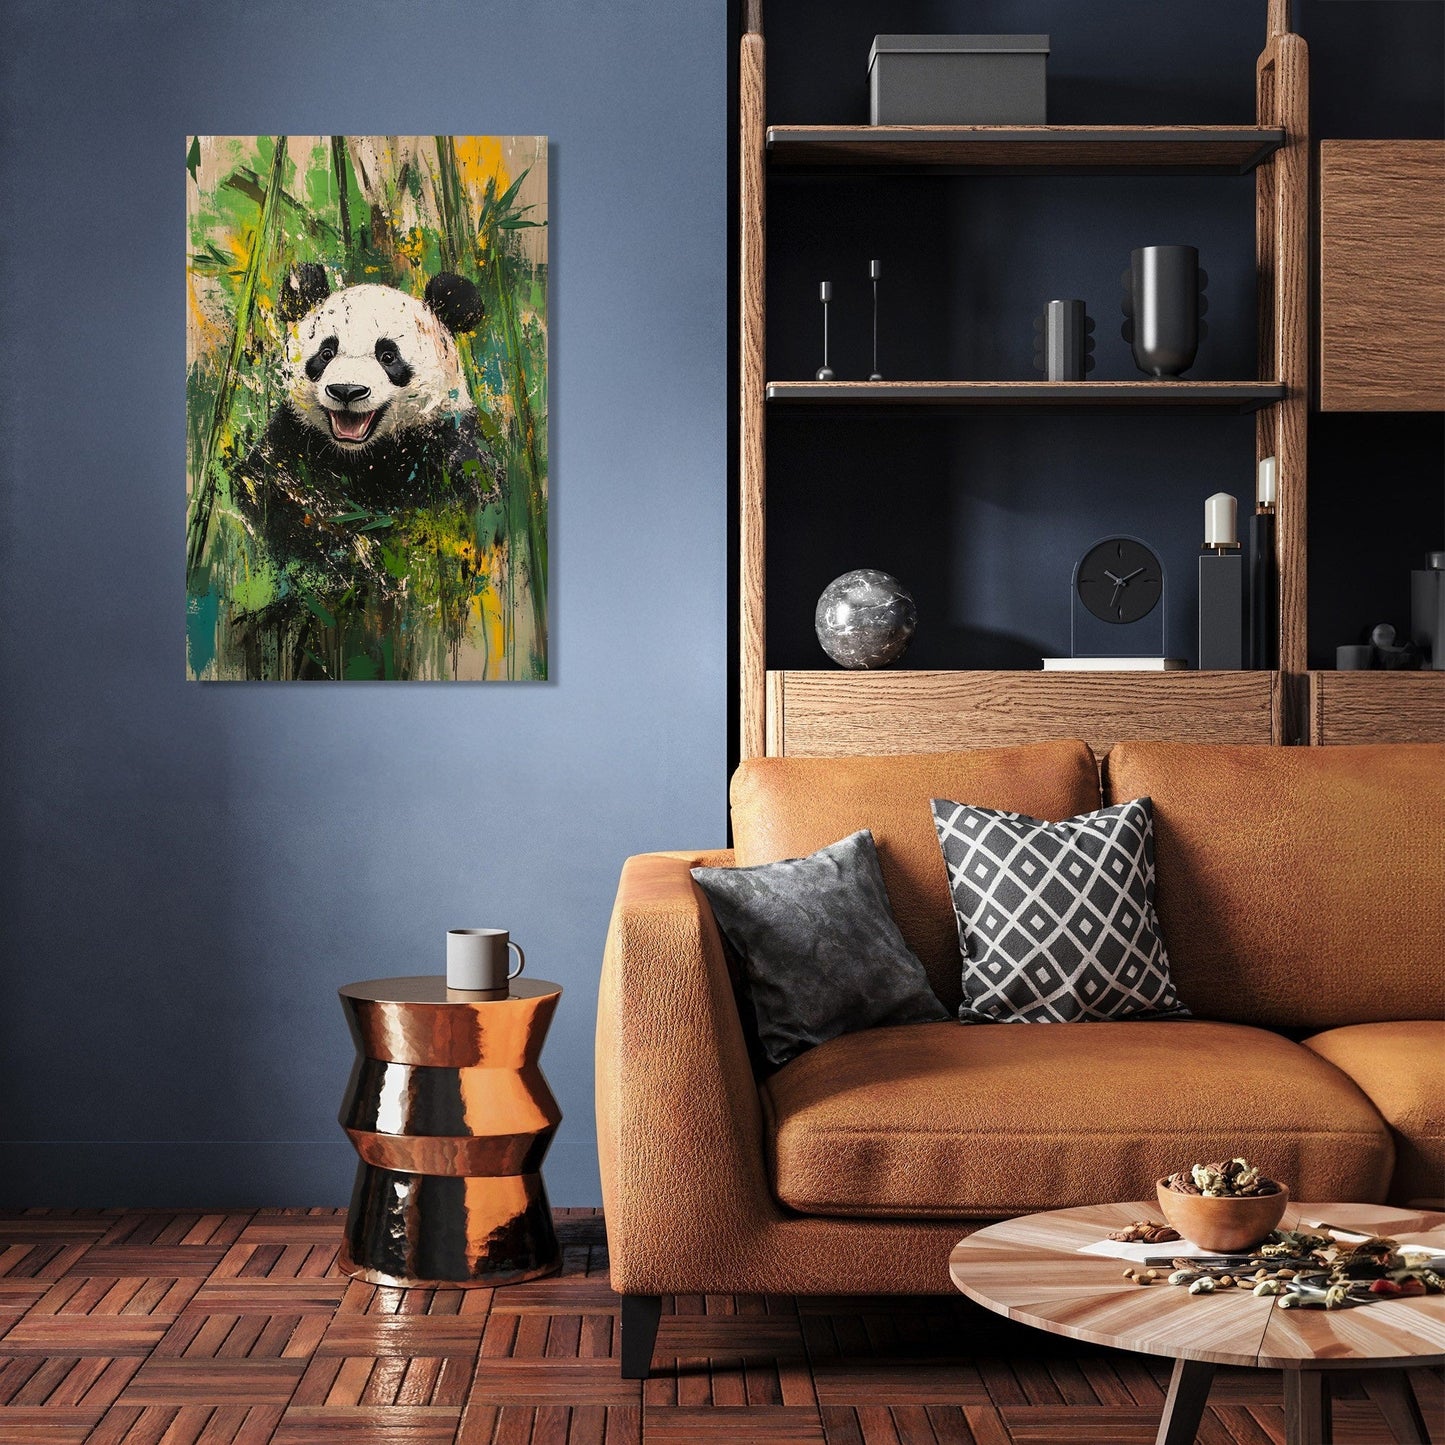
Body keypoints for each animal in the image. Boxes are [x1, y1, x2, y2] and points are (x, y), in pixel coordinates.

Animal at [234, 264, 503, 596]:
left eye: (388, 356)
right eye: (326, 353)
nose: (346, 390)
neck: (363, 454)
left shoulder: (449, 442)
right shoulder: (293, 439)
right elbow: (269, 496)